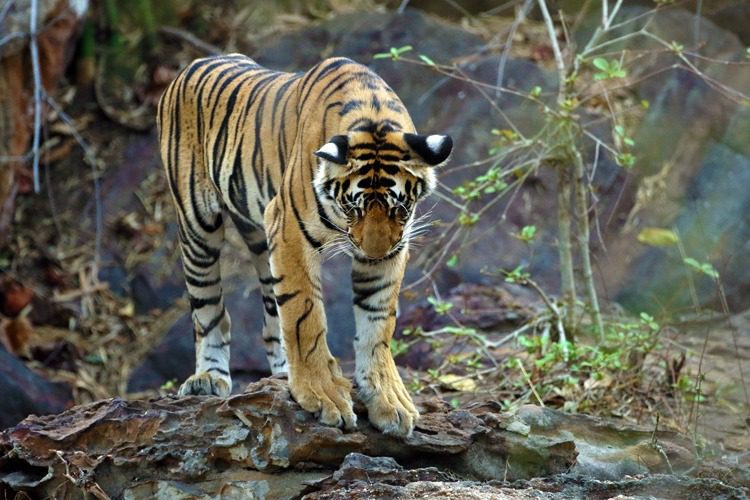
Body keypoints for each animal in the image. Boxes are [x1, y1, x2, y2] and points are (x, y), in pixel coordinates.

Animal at [156, 54, 452, 436]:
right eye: (352, 207)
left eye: (399, 208)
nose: (372, 255)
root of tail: (194, 64)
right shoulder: (290, 232)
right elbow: (304, 316)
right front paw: (321, 394)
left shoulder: (392, 248)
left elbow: (377, 324)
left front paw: (388, 399)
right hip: (198, 225)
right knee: (209, 309)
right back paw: (208, 377)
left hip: (260, 238)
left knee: (271, 320)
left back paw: (282, 373)